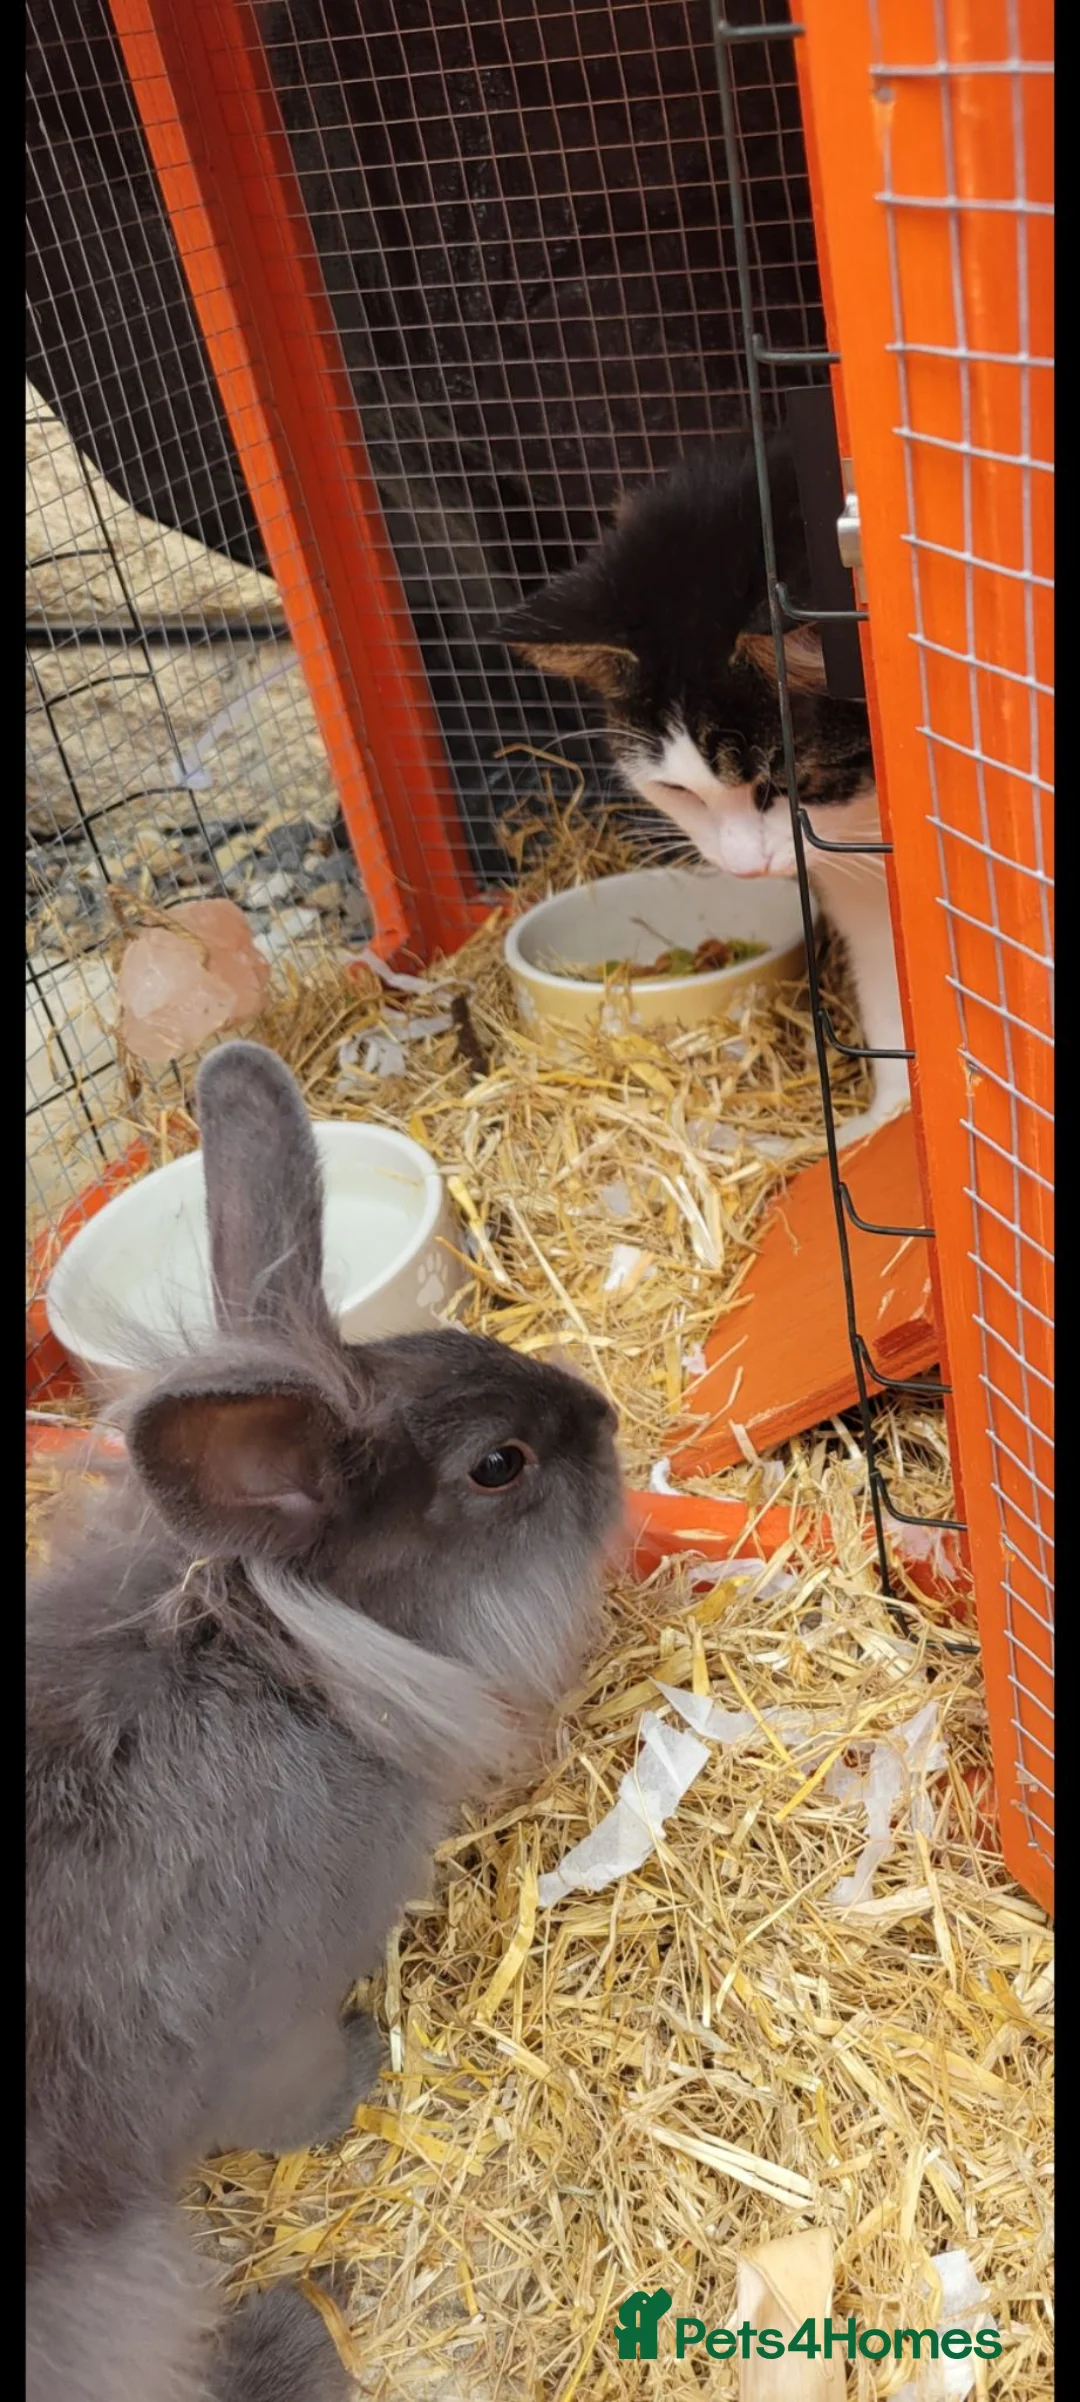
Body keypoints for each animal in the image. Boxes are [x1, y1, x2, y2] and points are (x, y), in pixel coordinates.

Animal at [27, 1040, 624, 2402]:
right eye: (500, 1464)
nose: (610, 1420)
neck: (283, 1665)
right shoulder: (269, 2016)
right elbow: (294, 2092)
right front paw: (363, 2068)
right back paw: (301, 2324)